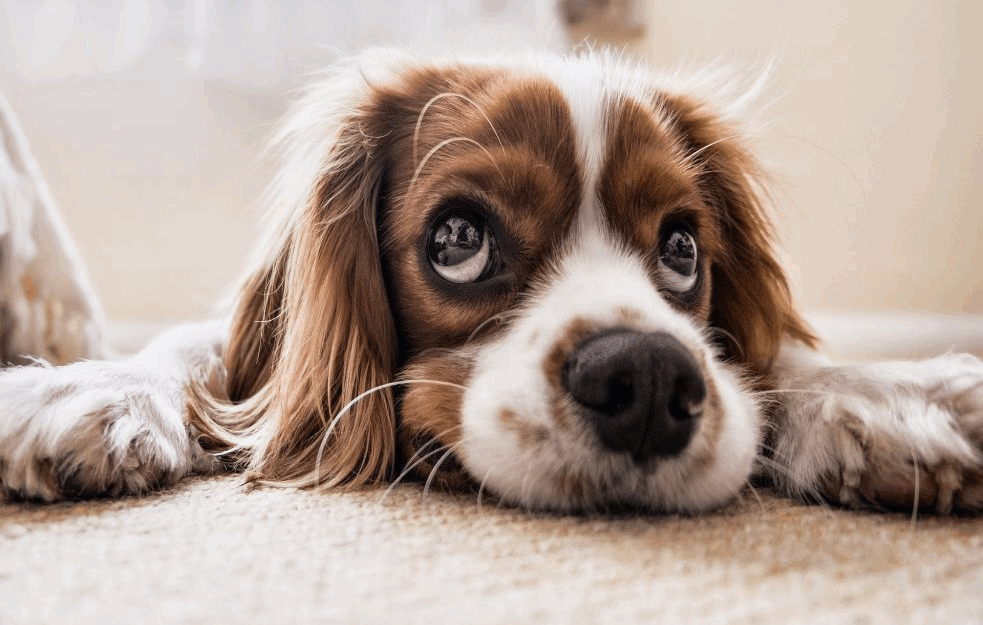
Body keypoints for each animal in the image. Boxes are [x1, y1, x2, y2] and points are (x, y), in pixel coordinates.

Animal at [1, 52, 983, 512]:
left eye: (681, 250)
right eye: (458, 239)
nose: (647, 378)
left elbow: (779, 357)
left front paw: (887, 396)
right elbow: (190, 346)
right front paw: (90, 389)